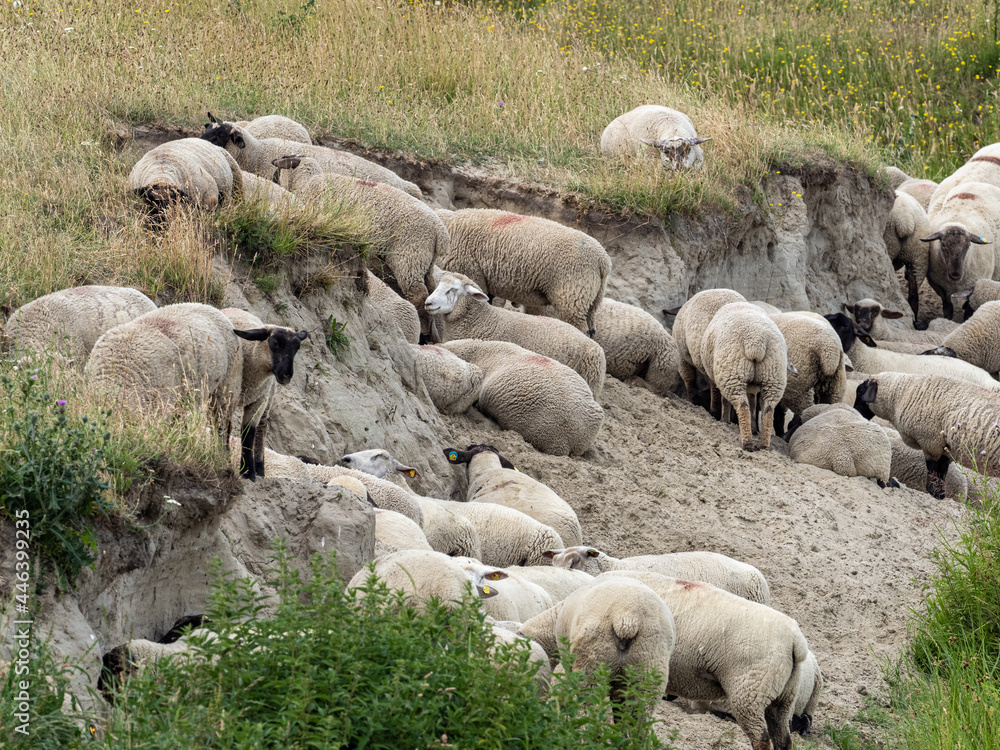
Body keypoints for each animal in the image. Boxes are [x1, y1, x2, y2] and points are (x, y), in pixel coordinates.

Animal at [271, 155, 445, 328]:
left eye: (281, 165)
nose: (273, 179)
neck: (307, 182)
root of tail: (440, 232)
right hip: (425, 263)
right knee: (431, 290)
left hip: (409, 258)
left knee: (418, 295)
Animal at [435, 208, 612, 336]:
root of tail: (603, 261)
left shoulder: (472, 274)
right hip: (591, 302)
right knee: (591, 330)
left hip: (572, 297)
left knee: (580, 329)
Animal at [702, 302, 789, 451]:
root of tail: (755, 341)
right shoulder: (753, 387)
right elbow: (753, 404)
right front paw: (753, 428)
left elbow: (725, 401)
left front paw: (725, 421)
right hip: (773, 375)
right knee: (768, 409)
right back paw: (764, 445)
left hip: (732, 373)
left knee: (742, 406)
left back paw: (747, 443)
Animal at [854, 371, 1000, 498]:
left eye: (860, 392)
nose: (854, 411)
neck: (902, 393)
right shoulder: (944, 448)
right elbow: (942, 471)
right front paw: (939, 495)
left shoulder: (931, 442)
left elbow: (933, 470)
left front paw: (932, 491)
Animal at [923, 182, 1000, 320]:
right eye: (943, 245)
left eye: (968, 246)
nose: (955, 274)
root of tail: (980, 183)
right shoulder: (939, 286)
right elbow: (947, 307)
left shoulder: (975, 285)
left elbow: (969, 309)